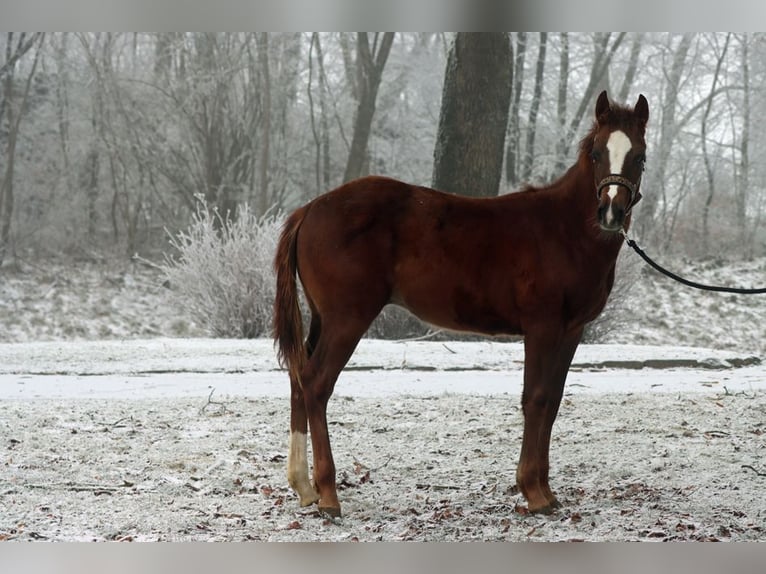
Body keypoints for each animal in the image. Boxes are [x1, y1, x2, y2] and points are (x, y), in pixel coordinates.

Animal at [272, 91, 652, 516]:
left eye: (639, 156)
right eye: (597, 153)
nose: (610, 213)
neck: (564, 231)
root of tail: (309, 210)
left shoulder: (572, 330)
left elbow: (553, 400)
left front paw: (546, 491)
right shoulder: (542, 326)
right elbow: (536, 399)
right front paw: (533, 492)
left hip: (323, 318)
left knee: (299, 377)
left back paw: (304, 486)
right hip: (346, 319)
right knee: (317, 383)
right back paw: (328, 493)